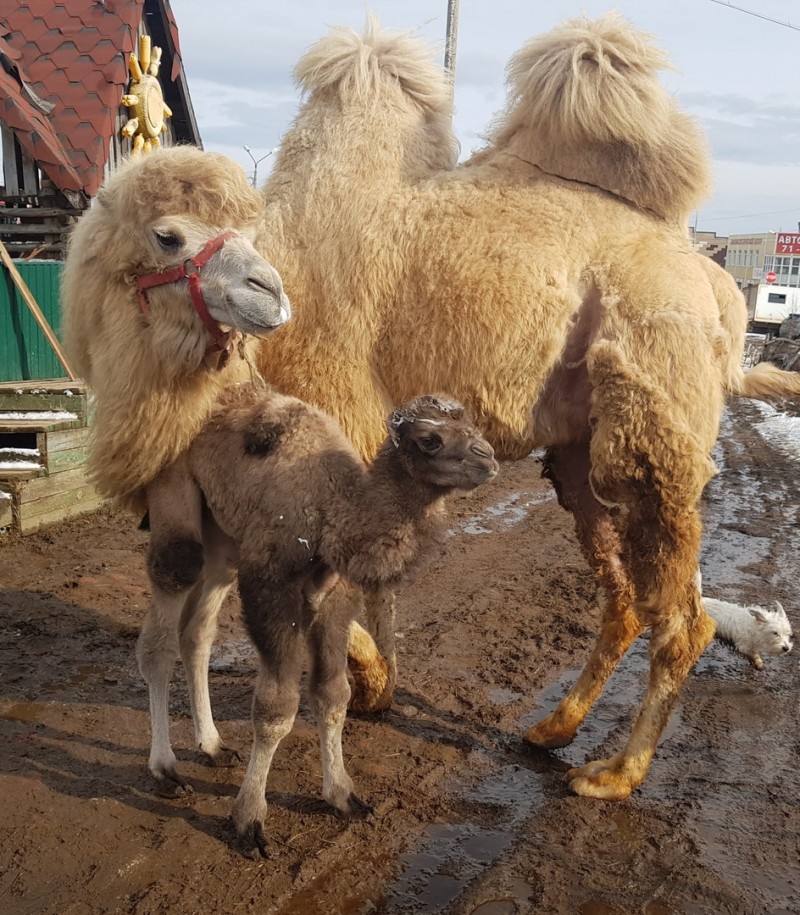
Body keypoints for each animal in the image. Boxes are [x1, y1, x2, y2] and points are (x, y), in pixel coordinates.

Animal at [143, 382, 494, 856]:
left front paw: (343, 794)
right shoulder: (271, 586)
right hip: (174, 493)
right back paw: (165, 770)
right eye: (429, 440)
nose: (488, 457)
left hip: (224, 538)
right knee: (165, 614)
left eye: (470, 422)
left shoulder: (335, 600)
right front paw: (249, 821)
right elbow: (276, 707)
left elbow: (333, 694)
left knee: (196, 633)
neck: (333, 515)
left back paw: (214, 746)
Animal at [253, 14, 800, 800]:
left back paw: (614, 774)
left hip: (652, 429)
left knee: (683, 620)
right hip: (581, 454)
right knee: (626, 599)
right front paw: (378, 687)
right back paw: (553, 730)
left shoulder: (335, 414)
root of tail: (717, 288)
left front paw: (371, 687)